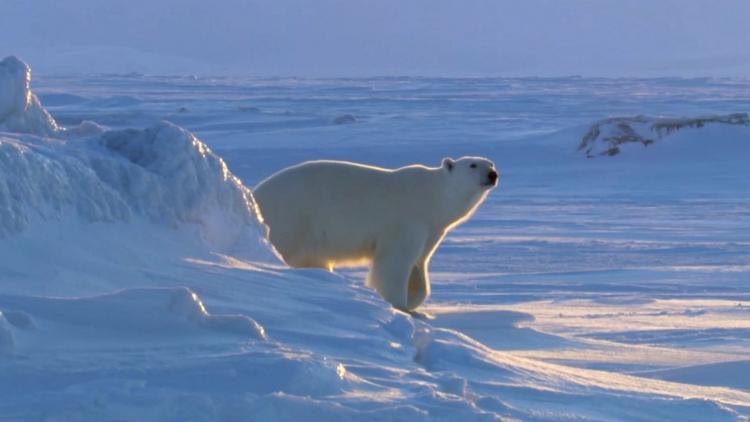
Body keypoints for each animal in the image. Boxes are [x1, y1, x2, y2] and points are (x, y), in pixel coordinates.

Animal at [256, 157, 502, 312]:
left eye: (490, 163)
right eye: (472, 164)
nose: (493, 174)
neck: (433, 196)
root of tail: (256, 194)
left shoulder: (431, 229)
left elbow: (419, 264)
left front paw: (414, 300)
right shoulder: (406, 222)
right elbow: (394, 263)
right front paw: (399, 304)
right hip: (293, 218)